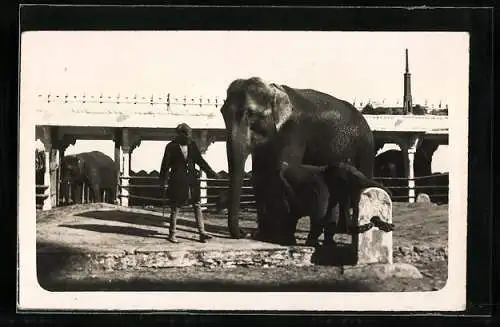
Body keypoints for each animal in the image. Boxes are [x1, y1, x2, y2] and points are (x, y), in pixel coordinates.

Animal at [221, 78, 374, 245]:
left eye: (251, 113)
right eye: (222, 112)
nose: (244, 233)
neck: (274, 90)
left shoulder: (295, 130)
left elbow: (284, 166)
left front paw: (281, 238)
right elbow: (259, 175)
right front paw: (264, 236)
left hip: (365, 148)